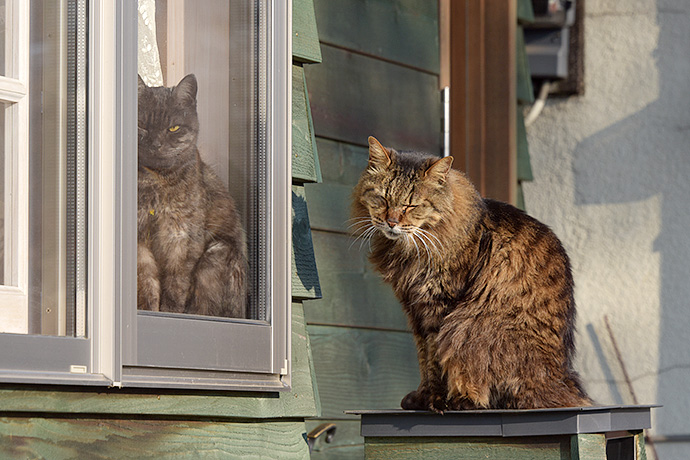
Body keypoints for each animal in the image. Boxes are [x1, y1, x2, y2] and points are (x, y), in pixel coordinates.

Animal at [136, 75, 246, 318]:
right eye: (141, 125)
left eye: (173, 128)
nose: (156, 144)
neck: (158, 181)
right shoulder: (140, 241)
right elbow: (147, 285)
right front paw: (149, 311)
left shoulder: (182, 239)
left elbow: (175, 286)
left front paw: (169, 314)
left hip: (216, 254)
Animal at [352, 136, 588, 410]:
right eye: (383, 199)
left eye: (411, 205)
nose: (391, 222)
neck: (409, 248)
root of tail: (560, 379)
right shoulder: (414, 309)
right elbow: (423, 357)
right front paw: (421, 397)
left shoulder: (438, 307)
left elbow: (435, 360)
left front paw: (435, 400)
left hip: (470, 328)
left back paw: (462, 401)